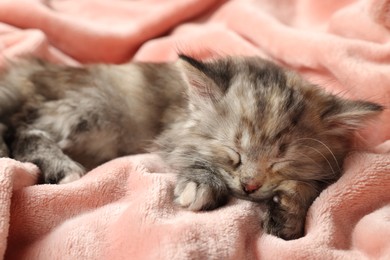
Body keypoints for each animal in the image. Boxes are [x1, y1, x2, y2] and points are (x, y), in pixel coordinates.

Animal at [0, 54, 384, 240]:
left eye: (280, 163)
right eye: (233, 154)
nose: (250, 186)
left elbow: (309, 186)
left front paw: (288, 212)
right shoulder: (173, 134)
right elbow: (194, 158)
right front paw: (201, 185)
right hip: (89, 107)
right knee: (21, 128)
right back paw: (61, 167)